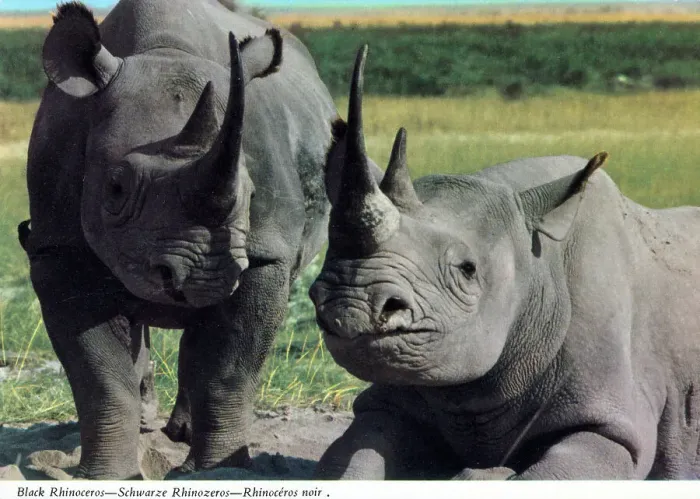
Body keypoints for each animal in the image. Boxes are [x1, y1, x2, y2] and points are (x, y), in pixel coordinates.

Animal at [20, 0, 339, 479]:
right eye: (115, 189)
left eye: (250, 195)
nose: (202, 278)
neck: (163, 51)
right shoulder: (60, 249)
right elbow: (101, 377)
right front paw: (104, 476)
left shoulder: (265, 254)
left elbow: (228, 370)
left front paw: (220, 471)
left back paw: (185, 436)